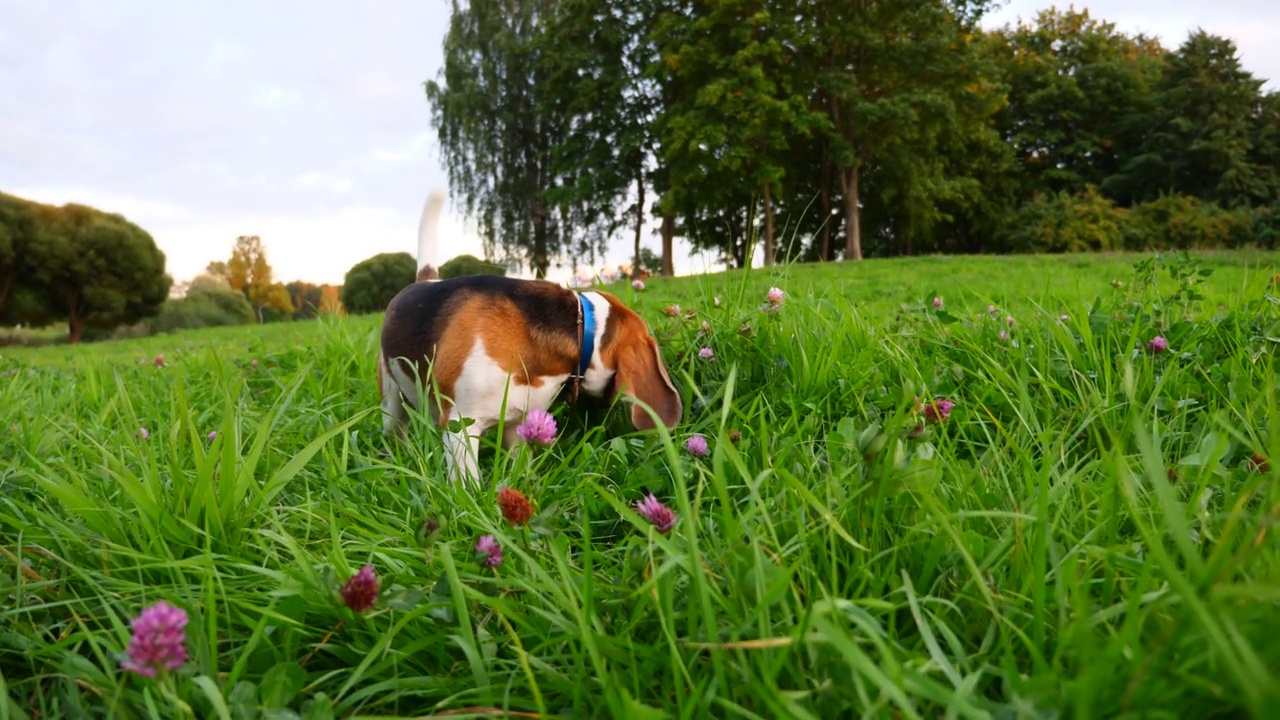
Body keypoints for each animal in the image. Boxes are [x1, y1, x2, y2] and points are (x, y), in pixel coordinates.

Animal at [376, 190, 686, 484]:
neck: (582, 326)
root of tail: (425, 280)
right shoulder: (461, 428)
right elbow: (469, 487)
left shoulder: (520, 424)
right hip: (392, 401)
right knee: (395, 429)